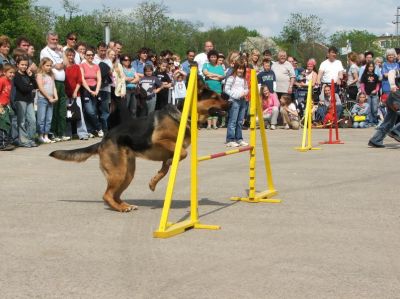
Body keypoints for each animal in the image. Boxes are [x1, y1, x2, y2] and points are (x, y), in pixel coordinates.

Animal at [50, 86, 228, 213]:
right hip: (119, 172)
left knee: (114, 195)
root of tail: (103, 141)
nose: (231, 103)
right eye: (215, 97)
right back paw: (121, 208)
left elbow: (166, 167)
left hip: (127, 173)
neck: (184, 115)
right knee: (107, 195)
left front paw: (154, 180)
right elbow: (183, 153)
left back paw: (125, 205)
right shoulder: (160, 140)